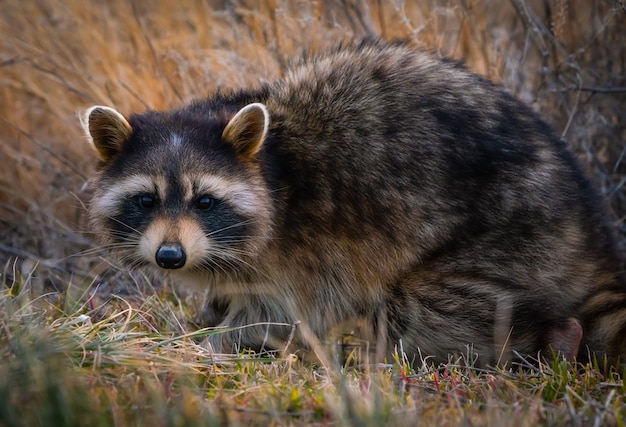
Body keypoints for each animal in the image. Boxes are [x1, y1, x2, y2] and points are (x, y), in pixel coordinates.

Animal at [80, 39, 624, 368]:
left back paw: (548, 338)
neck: (273, 168)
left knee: (429, 309)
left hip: (511, 235)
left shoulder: (305, 251)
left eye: (206, 201)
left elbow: (275, 316)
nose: (170, 256)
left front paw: (204, 346)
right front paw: (207, 317)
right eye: (146, 199)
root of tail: (588, 230)